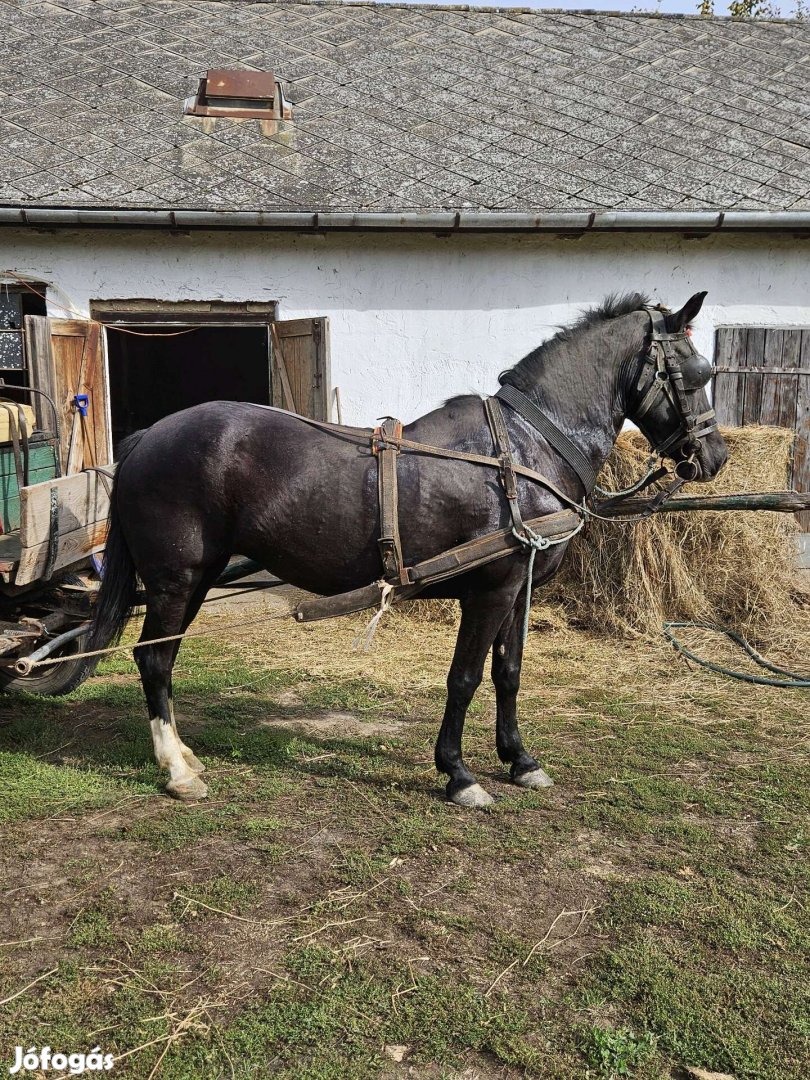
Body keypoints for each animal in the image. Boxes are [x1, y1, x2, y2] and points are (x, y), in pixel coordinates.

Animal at [90, 291, 730, 807]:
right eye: (696, 373)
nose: (715, 457)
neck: (529, 446)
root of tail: (150, 436)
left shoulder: (516, 590)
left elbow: (509, 672)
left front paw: (520, 760)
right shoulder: (491, 589)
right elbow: (465, 677)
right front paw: (459, 774)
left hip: (196, 578)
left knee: (164, 659)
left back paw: (184, 756)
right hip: (176, 579)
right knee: (154, 661)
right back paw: (177, 772)